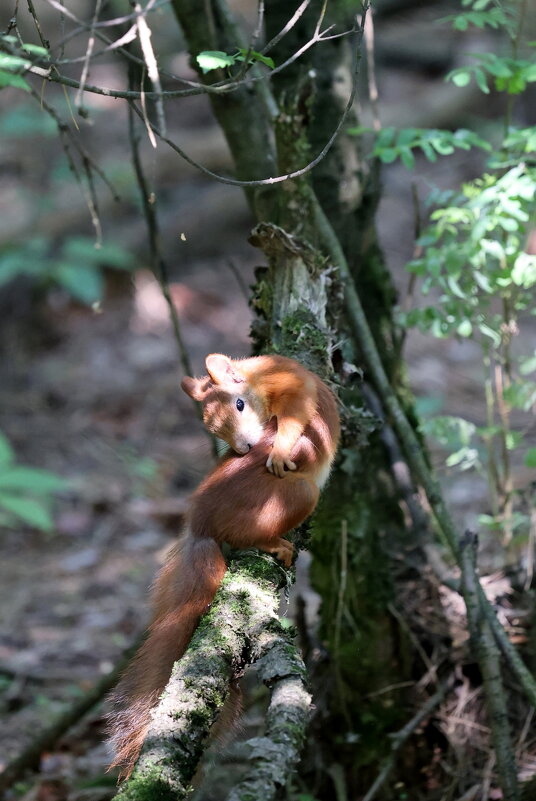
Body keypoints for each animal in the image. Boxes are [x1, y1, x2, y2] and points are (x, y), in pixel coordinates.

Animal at [108, 354, 340, 776]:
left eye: (240, 405)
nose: (244, 447)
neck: (258, 371)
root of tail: (201, 526)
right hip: (297, 494)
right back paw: (273, 543)